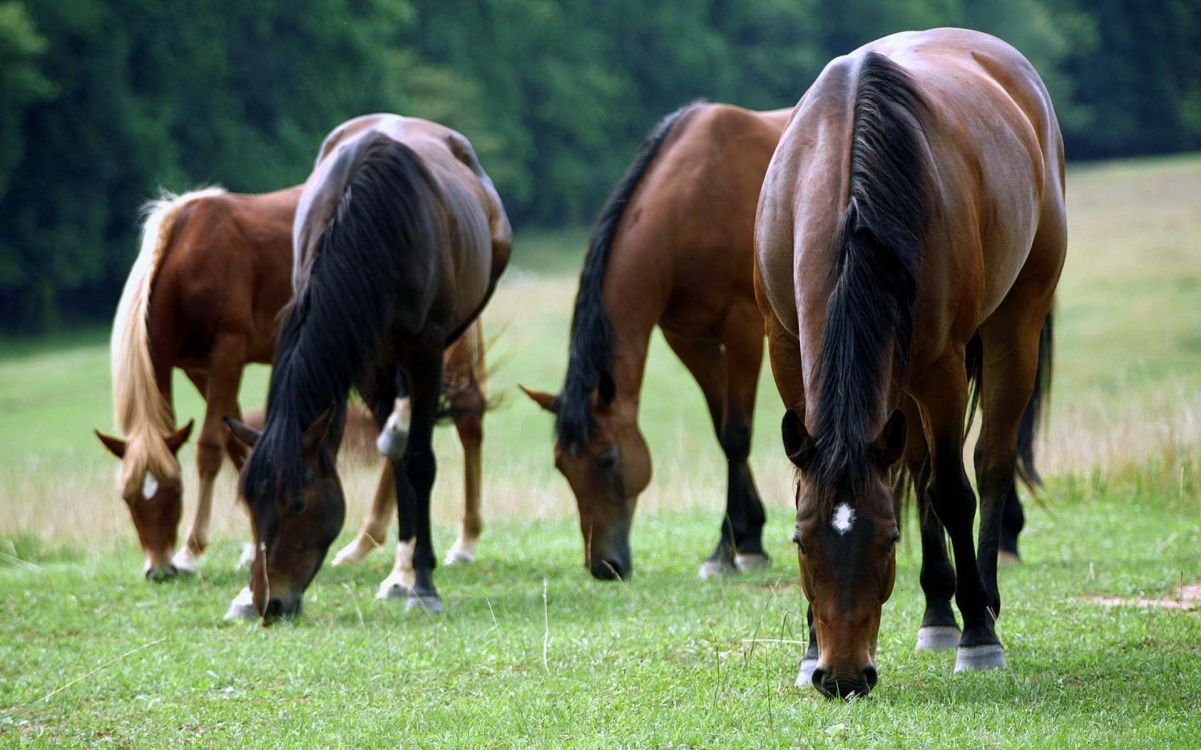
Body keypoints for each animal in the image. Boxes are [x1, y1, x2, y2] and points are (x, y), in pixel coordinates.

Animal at [224, 114, 510, 622]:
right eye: (249, 502)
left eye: (298, 504)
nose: (269, 603)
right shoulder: (363, 359)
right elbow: (397, 461)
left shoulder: (425, 351)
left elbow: (419, 461)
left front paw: (424, 584)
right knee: (393, 449)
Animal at [521, 103, 791, 580]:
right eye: (561, 466)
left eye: (608, 459)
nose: (604, 566)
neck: (693, 204)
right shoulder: (688, 338)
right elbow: (721, 430)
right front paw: (748, 537)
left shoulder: (742, 329)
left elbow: (737, 434)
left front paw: (728, 550)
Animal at [755, 28, 1065, 697]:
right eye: (800, 540)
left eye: (888, 538)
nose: (843, 678)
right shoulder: (785, 349)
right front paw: (808, 648)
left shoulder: (942, 366)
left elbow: (952, 491)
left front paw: (979, 637)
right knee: (918, 466)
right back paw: (937, 612)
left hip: (1014, 325)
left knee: (989, 462)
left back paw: (980, 605)